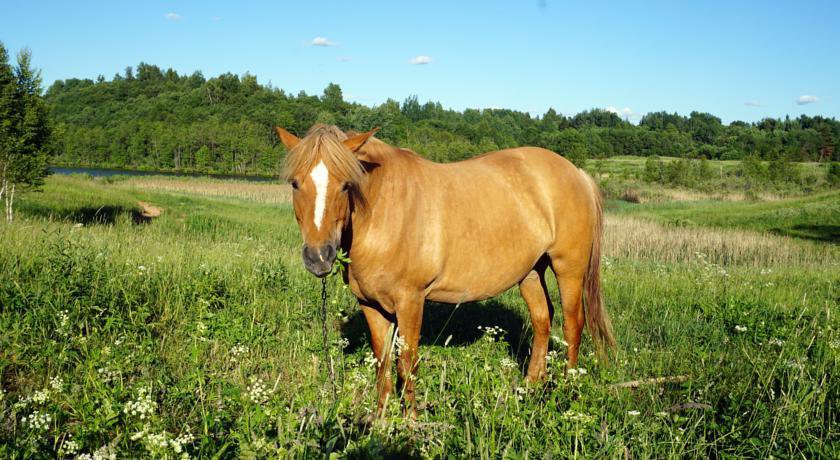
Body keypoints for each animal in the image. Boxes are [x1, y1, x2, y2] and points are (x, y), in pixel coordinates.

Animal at [278, 124, 612, 418]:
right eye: (295, 183)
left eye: (346, 184)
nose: (319, 257)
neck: (384, 211)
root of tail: (577, 173)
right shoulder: (370, 305)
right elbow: (383, 361)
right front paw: (381, 419)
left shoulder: (411, 301)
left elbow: (407, 361)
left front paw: (412, 422)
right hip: (530, 271)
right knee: (543, 319)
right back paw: (529, 388)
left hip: (568, 268)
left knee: (572, 325)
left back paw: (568, 391)